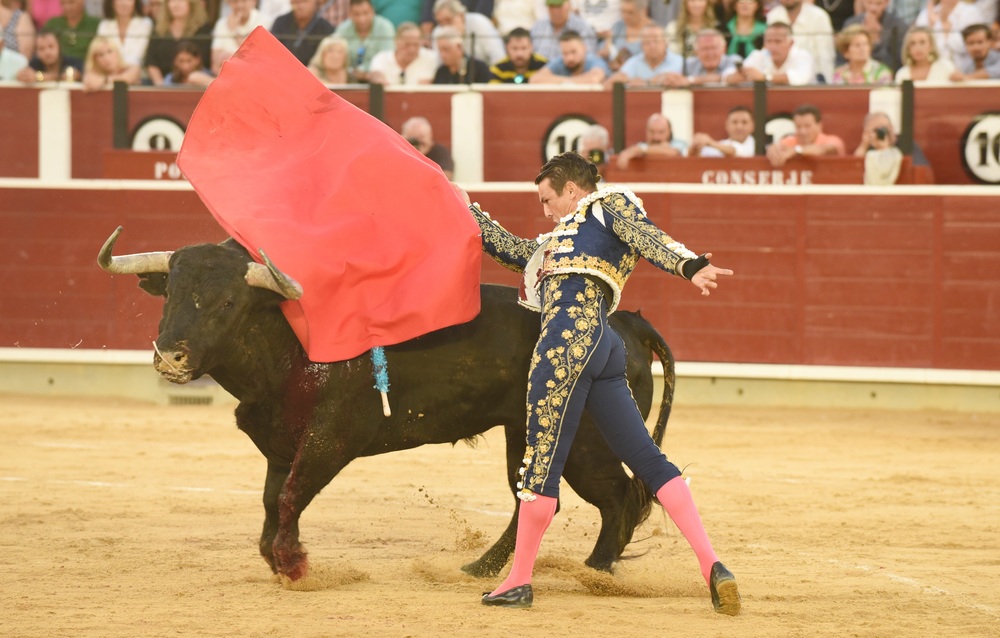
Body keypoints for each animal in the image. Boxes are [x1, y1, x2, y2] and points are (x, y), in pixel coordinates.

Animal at [97, 230, 676, 584]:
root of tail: (629, 324)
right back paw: (481, 568)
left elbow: (290, 497)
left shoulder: (330, 440)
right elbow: (272, 500)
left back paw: (596, 570)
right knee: (534, 499)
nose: (171, 356)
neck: (291, 341)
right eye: (169, 295)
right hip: (525, 433)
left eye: (228, 302)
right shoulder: (281, 443)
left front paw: (294, 565)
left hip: (585, 442)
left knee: (617, 496)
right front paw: (278, 558)